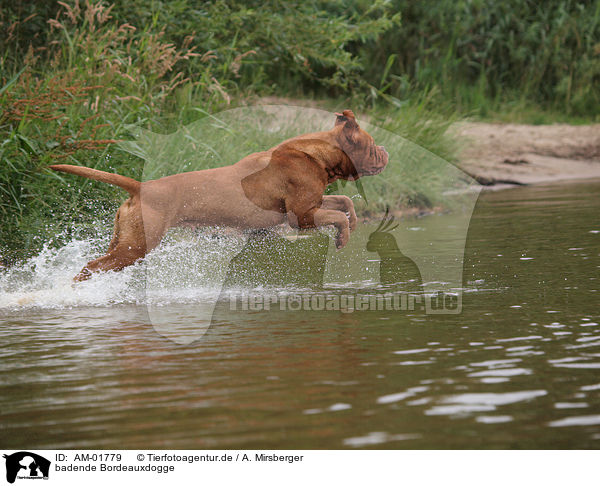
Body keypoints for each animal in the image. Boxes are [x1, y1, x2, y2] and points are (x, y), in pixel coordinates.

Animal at [50, 108, 390, 280]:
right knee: (89, 266)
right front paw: (343, 237)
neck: (317, 154)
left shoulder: (314, 203)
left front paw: (354, 222)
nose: (386, 151)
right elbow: (336, 215)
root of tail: (140, 187)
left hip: (123, 241)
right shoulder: (302, 216)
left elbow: (343, 202)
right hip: (136, 247)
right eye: (373, 145)